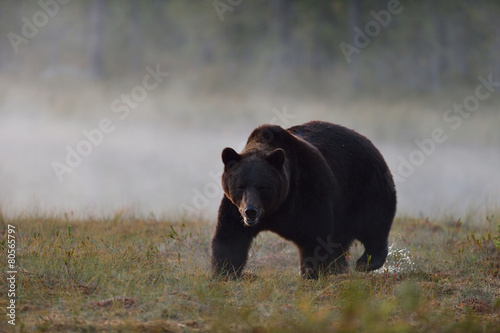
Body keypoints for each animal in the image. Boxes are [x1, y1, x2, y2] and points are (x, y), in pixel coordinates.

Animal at [210, 120, 394, 278]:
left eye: (262, 186)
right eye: (240, 185)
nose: (251, 212)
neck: (276, 209)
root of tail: (368, 141)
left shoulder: (309, 190)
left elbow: (316, 239)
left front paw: (312, 272)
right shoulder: (234, 209)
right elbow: (230, 238)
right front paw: (224, 273)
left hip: (364, 184)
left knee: (373, 222)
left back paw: (366, 262)